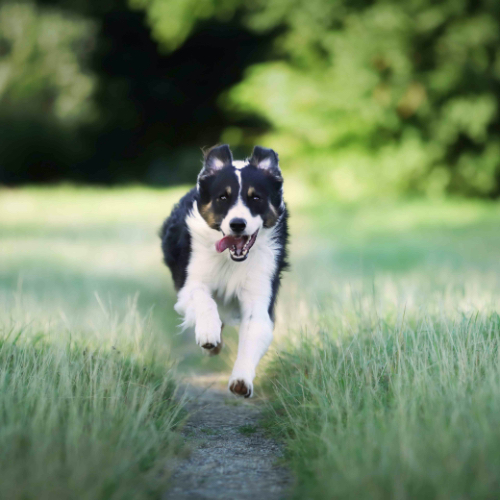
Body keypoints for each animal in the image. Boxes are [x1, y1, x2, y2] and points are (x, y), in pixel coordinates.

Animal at [160, 145, 290, 398]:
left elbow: (253, 332)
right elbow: (204, 299)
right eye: (223, 197)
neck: (231, 260)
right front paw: (208, 334)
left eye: (256, 197)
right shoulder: (189, 283)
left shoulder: (259, 294)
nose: (238, 224)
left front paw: (241, 380)